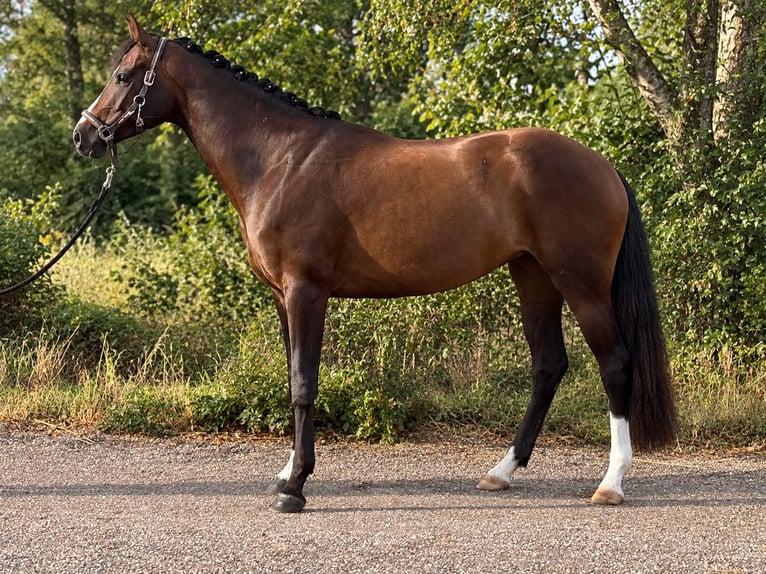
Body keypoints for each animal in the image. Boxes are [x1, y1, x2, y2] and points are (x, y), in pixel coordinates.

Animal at [73, 15, 677, 513]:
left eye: (124, 75)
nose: (83, 135)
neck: (279, 159)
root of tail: (603, 166)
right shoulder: (282, 297)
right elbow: (293, 379)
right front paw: (287, 473)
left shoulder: (306, 290)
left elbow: (303, 383)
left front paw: (296, 488)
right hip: (533, 276)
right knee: (548, 365)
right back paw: (501, 472)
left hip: (581, 283)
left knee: (614, 363)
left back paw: (610, 483)